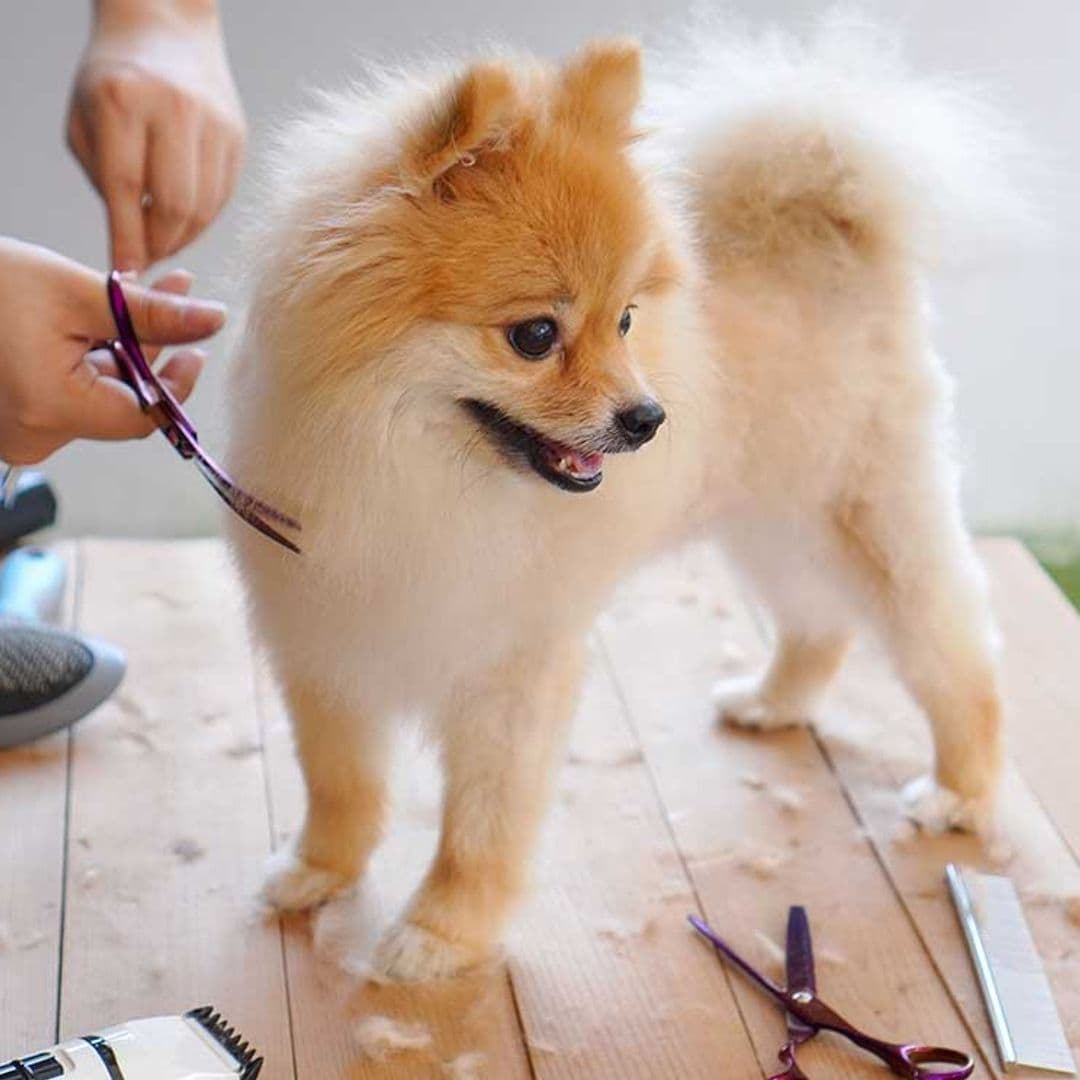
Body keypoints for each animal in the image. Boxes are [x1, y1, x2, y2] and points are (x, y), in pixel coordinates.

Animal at [227, 16, 1010, 980]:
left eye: (628, 320)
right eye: (535, 335)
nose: (648, 418)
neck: (414, 474)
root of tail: (836, 222)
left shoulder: (512, 667)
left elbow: (479, 822)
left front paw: (440, 934)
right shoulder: (327, 633)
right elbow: (340, 785)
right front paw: (318, 874)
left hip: (868, 512)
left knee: (957, 653)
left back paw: (959, 791)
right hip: (772, 519)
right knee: (820, 620)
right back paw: (776, 700)